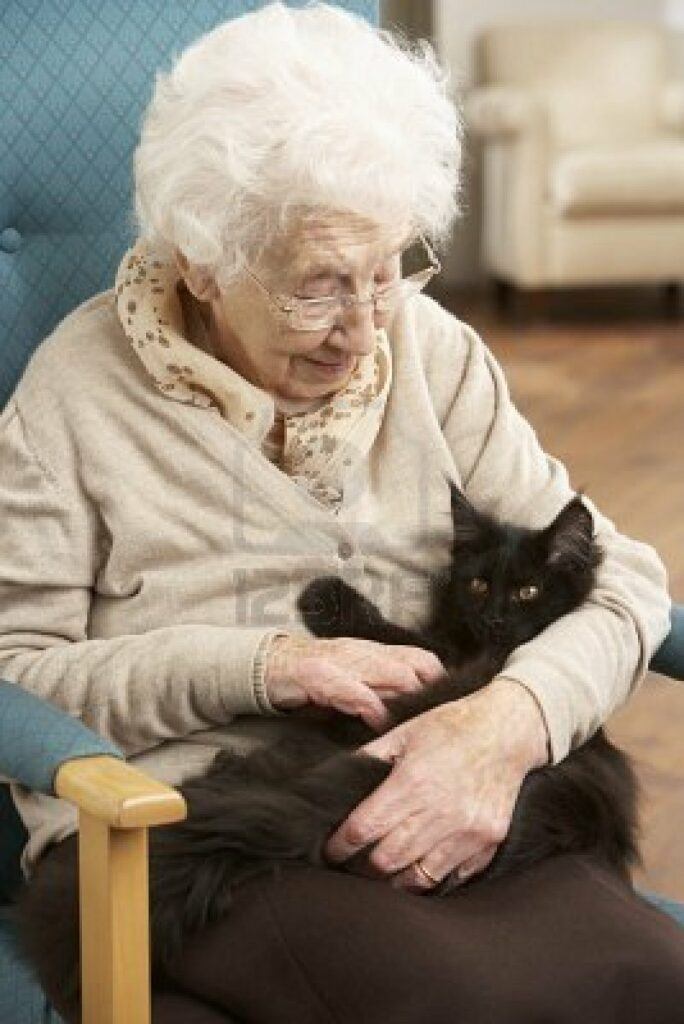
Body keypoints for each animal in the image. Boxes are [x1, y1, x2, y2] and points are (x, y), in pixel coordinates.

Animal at [13, 485, 638, 1015]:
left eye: (529, 590)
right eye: (479, 585)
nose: (495, 618)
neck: (480, 649)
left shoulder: (434, 659)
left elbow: (393, 636)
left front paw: (324, 595)